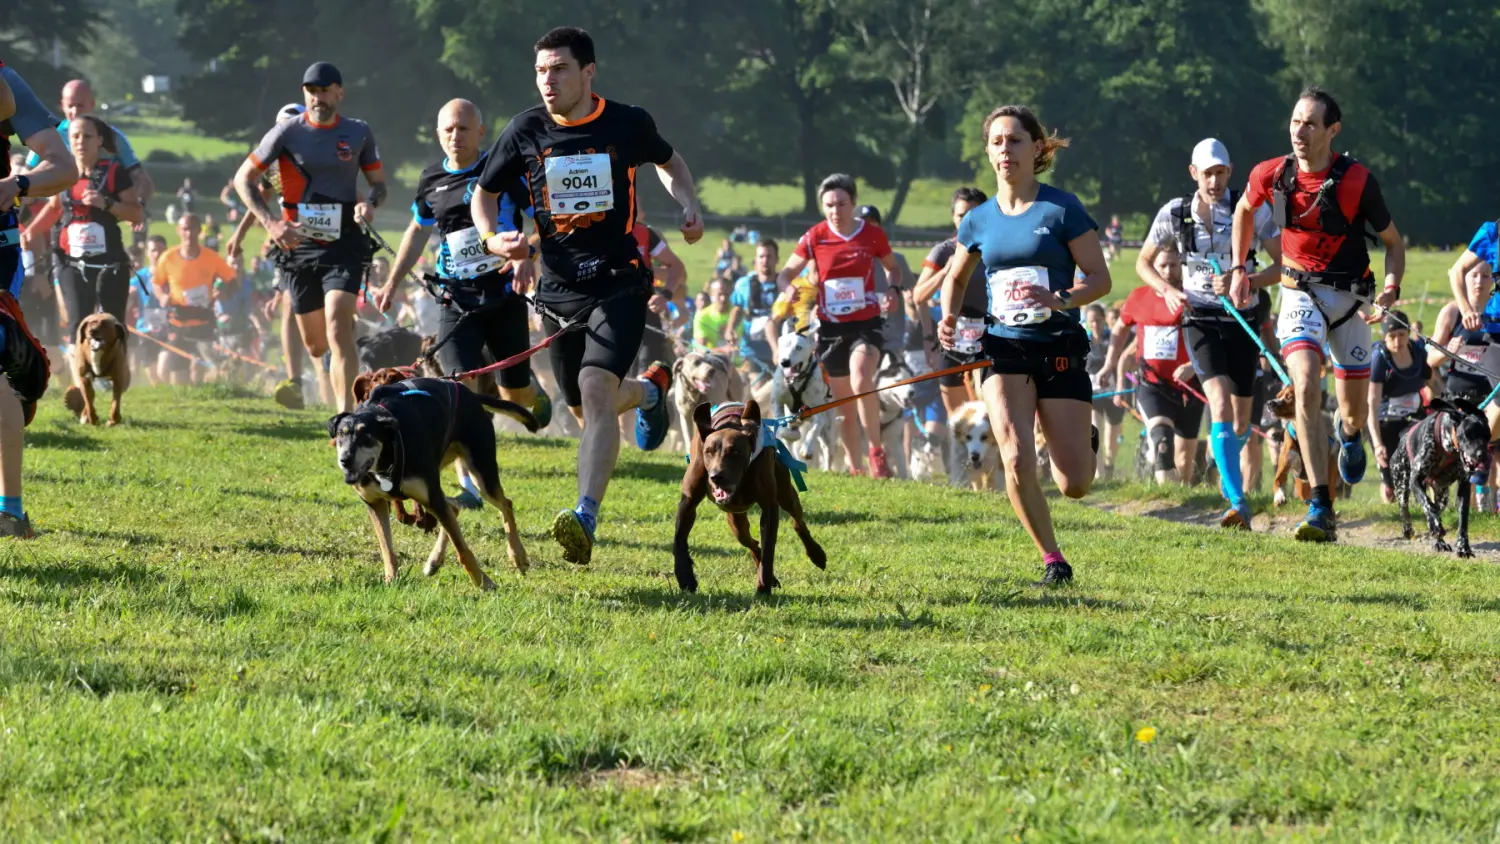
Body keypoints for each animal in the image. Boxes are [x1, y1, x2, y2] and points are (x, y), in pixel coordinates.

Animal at [331, 379, 537, 590]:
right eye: (340, 434)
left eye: (366, 436)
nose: (345, 460)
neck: (387, 454)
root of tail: (468, 392)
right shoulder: (375, 503)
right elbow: (386, 548)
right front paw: (391, 579)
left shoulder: (431, 495)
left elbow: (463, 551)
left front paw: (483, 582)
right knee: (453, 508)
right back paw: (434, 561)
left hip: (481, 472)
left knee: (505, 504)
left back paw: (518, 556)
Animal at [675, 401, 828, 593]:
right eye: (708, 451)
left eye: (735, 451)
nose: (716, 476)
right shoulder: (688, 501)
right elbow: (679, 538)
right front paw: (685, 576)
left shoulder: (769, 506)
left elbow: (769, 547)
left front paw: (764, 586)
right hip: (735, 520)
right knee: (751, 542)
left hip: (785, 492)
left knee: (797, 521)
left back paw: (816, 554)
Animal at [768, 326, 840, 473]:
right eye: (784, 346)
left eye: (798, 347)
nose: (785, 362)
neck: (795, 381)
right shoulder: (777, 402)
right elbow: (783, 429)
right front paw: (791, 435)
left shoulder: (819, 415)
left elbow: (812, 432)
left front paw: (806, 450)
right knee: (789, 442)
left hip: (827, 429)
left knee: (827, 448)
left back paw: (827, 468)